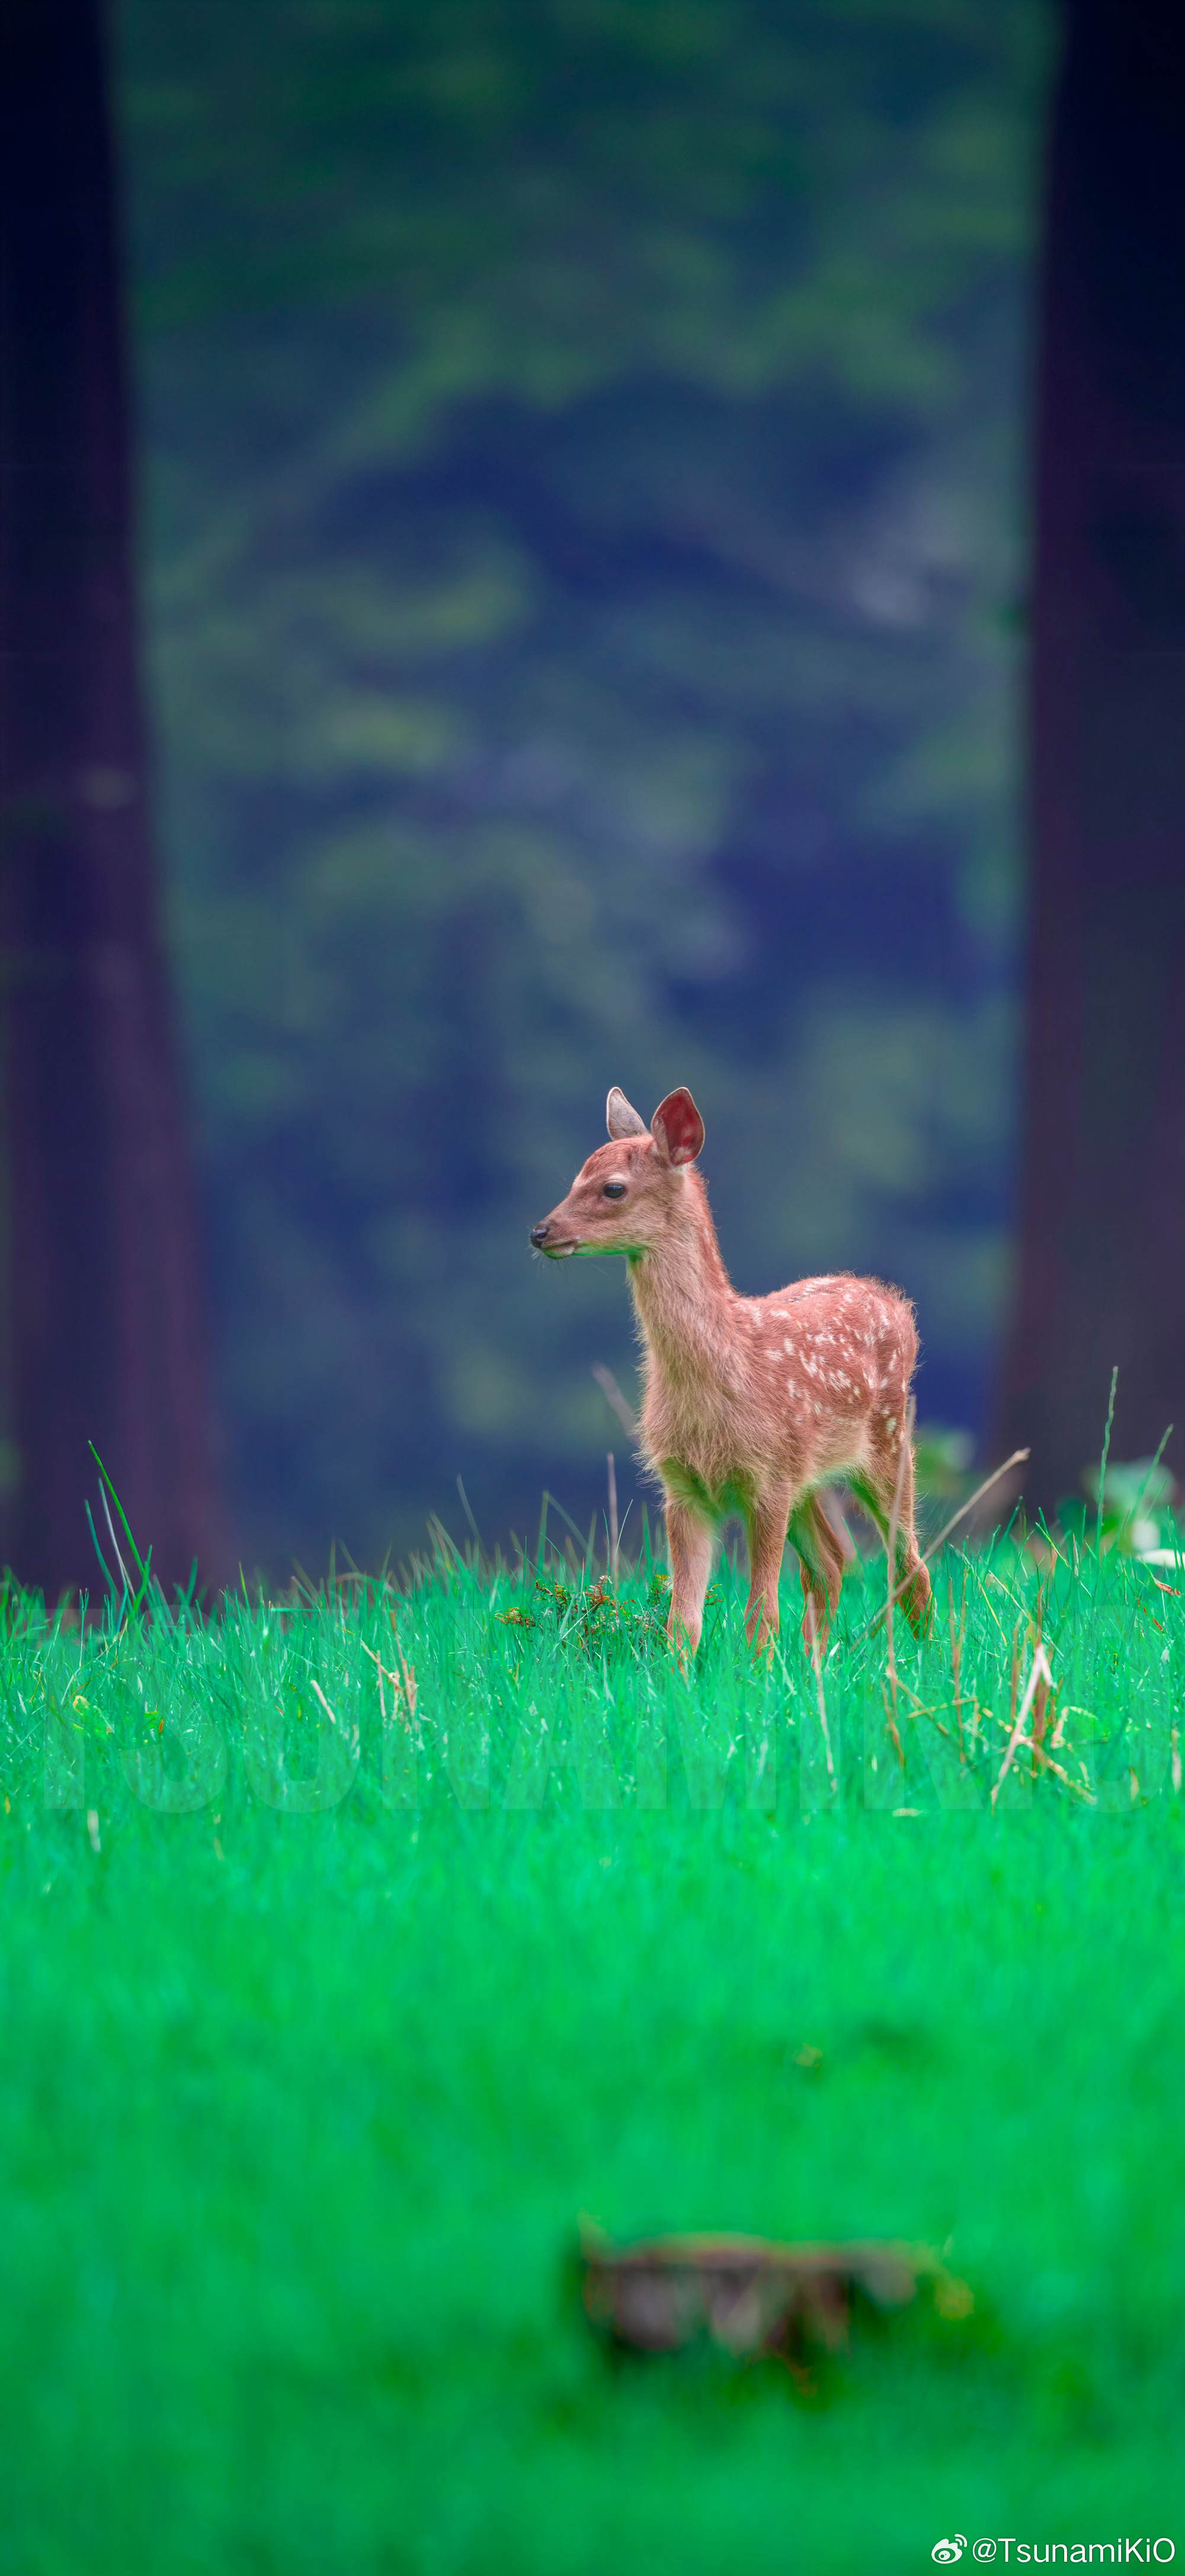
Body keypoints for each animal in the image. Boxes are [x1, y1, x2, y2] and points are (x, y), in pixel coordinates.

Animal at [530, 1085, 932, 1664]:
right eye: (574, 1178)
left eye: (613, 1188)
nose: (540, 1232)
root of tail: (895, 1302)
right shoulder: (684, 1488)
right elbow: (682, 1620)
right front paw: (679, 1680)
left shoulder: (768, 1480)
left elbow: (760, 1612)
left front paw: (754, 1675)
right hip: (808, 1478)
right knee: (831, 1565)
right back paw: (815, 1664)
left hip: (888, 1442)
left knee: (910, 1565)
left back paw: (921, 1662)